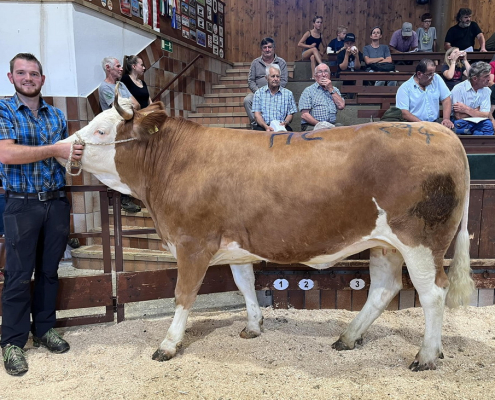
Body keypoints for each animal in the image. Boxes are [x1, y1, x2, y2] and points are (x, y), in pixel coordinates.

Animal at [56, 94, 474, 372]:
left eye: (101, 129)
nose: (62, 147)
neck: (173, 163)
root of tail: (439, 131)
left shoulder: (192, 243)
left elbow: (183, 295)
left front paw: (168, 345)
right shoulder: (235, 243)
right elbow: (244, 284)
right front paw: (253, 326)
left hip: (420, 241)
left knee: (432, 293)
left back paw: (426, 355)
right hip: (383, 243)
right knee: (385, 288)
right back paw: (348, 337)